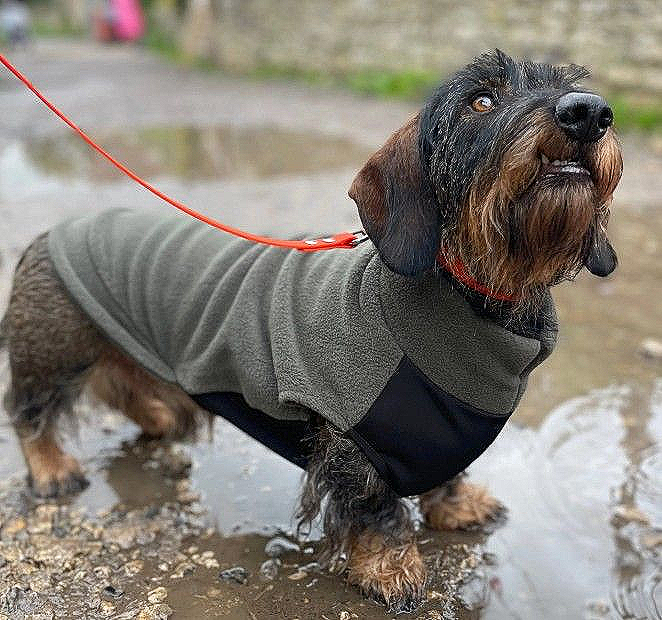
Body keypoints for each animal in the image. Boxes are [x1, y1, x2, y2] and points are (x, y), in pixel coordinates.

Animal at [1, 50, 622, 611]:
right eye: (482, 101)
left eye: (566, 83)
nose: (588, 112)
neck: (476, 297)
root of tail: (50, 233)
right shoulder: (352, 441)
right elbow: (376, 508)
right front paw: (391, 569)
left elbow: (447, 473)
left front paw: (458, 504)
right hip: (50, 353)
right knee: (30, 411)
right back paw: (53, 470)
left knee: (123, 386)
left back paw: (160, 417)